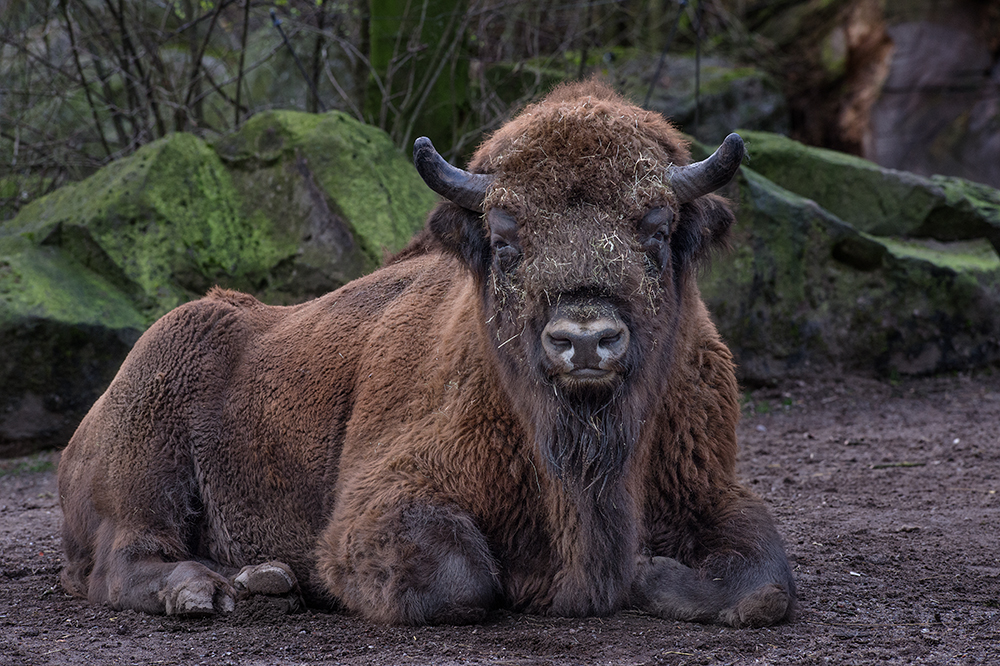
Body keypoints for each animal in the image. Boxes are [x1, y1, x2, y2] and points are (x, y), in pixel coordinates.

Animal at [60, 80, 796, 624]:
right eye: (504, 235)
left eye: (657, 228)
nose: (585, 340)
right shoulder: (385, 498)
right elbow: (463, 578)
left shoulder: (710, 488)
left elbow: (765, 584)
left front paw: (649, 571)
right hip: (145, 470)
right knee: (124, 559)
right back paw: (205, 591)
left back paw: (264, 578)